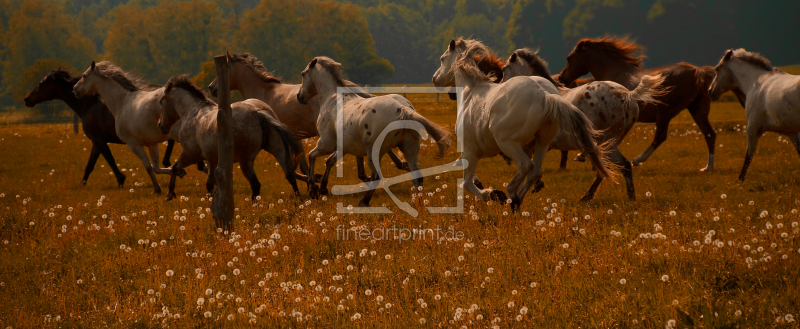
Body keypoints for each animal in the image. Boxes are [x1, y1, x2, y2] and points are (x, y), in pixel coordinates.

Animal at [74, 60, 181, 193]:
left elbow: (148, 167)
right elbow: (156, 167)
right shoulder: (152, 143)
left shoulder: (133, 144)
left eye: (84, 76)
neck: (122, 102)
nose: (75, 89)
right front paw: (179, 172)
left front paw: (157, 189)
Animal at [298, 56, 454, 205]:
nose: (300, 97)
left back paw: (364, 202)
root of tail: (403, 109)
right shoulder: (344, 148)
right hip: (410, 148)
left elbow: (311, 156)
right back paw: (419, 203)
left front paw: (313, 189)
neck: (333, 99)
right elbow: (329, 162)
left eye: (303, 74)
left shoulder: (326, 144)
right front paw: (322, 188)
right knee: (417, 176)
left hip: (373, 152)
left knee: (376, 177)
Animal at [504, 47, 664, 199]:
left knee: (623, 166)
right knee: (605, 169)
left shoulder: (529, 144)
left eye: (504, 68)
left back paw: (623, 197)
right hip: (609, 145)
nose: (502, 86)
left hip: (608, 143)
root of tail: (624, 95)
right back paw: (590, 196)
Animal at [556, 37, 720, 172]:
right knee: (710, 134)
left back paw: (637, 160)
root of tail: (698, 71)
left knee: (660, 137)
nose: (561, 78)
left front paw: (582, 156)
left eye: (569, 58)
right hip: (697, 110)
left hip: (665, 113)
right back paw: (708, 167)